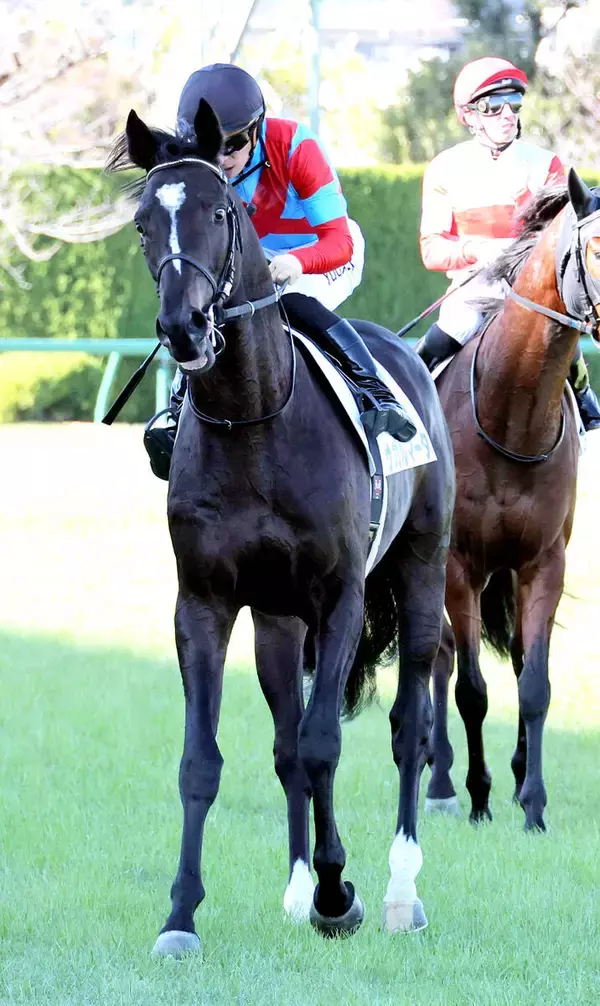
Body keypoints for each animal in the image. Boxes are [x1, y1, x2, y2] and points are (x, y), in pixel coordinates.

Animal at [106, 97, 455, 956]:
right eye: (143, 223)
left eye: (219, 214)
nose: (184, 328)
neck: (256, 423)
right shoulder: (204, 603)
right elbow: (206, 761)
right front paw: (182, 916)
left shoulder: (341, 598)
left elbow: (327, 742)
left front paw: (341, 892)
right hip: (276, 622)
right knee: (286, 743)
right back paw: (298, 888)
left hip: (422, 573)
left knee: (409, 725)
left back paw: (399, 891)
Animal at [425, 170, 600, 832]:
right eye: (596, 246)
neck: (510, 415)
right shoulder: (459, 566)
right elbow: (472, 690)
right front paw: (477, 796)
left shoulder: (543, 562)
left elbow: (535, 683)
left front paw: (533, 804)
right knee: (439, 656)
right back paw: (439, 780)